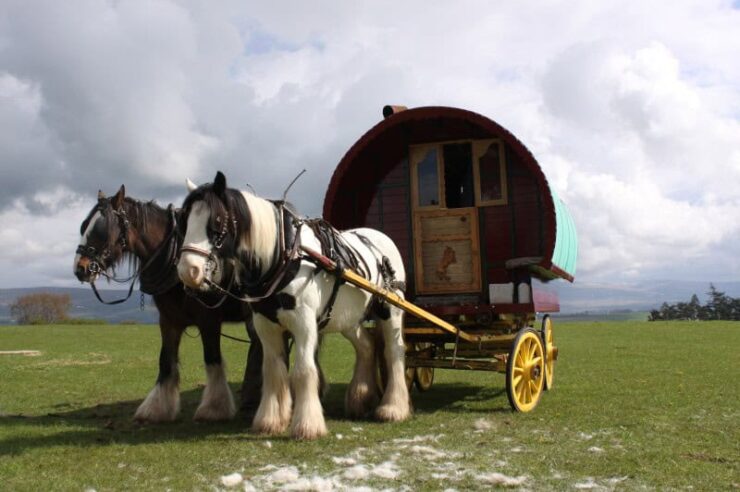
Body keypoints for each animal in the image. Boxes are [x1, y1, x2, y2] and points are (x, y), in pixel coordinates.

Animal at [177, 172, 414, 438]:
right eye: (185, 221)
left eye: (216, 222)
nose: (188, 271)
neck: (283, 255)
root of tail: (381, 238)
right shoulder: (266, 326)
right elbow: (272, 371)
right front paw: (270, 421)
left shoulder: (304, 324)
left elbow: (303, 371)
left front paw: (307, 425)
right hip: (348, 318)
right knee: (366, 345)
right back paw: (360, 399)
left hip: (390, 310)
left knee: (394, 352)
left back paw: (393, 408)